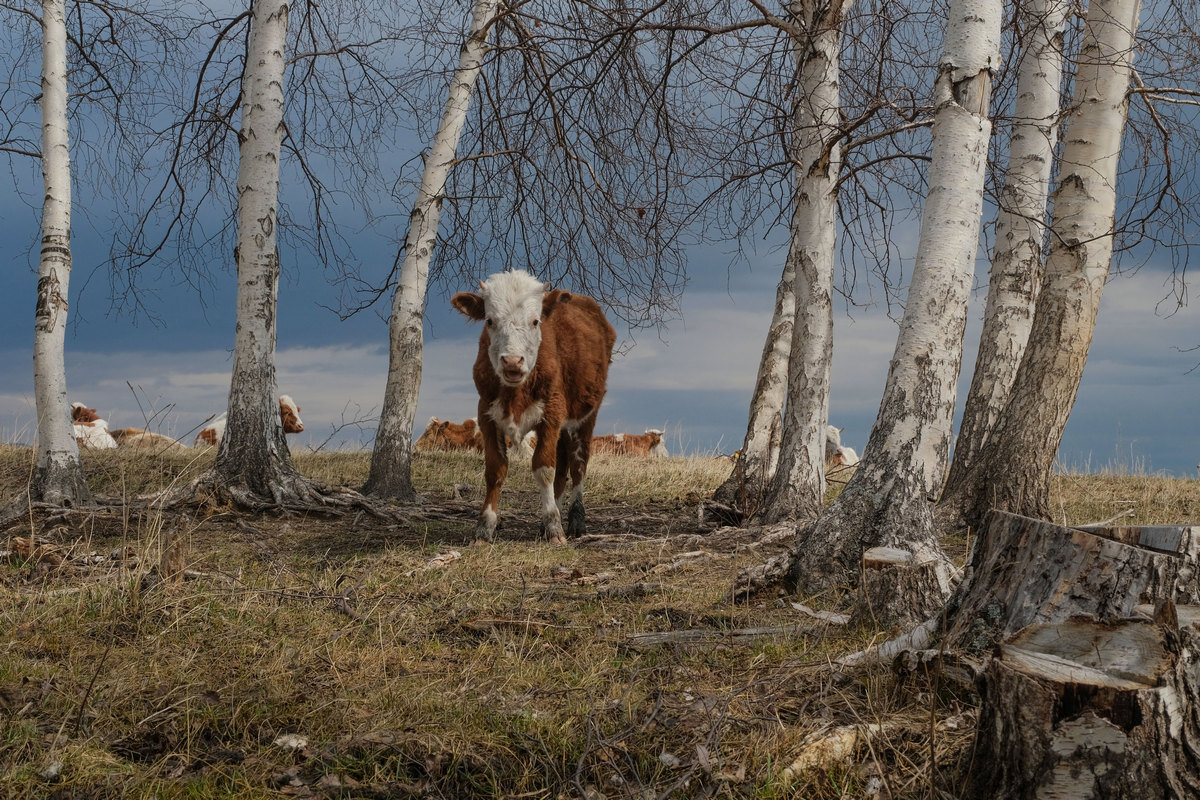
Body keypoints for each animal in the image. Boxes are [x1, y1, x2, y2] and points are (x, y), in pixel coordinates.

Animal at [451, 271, 619, 544]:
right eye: (489, 320)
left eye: (535, 321)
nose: (512, 361)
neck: (515, 393)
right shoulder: (486, 413)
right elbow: (495, 469)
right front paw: (484, 528)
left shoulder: (552, 412)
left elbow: (544, 469)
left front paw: (554, 527)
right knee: (562, 467)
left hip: (585, 416)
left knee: (578, 465)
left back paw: (575, 520)